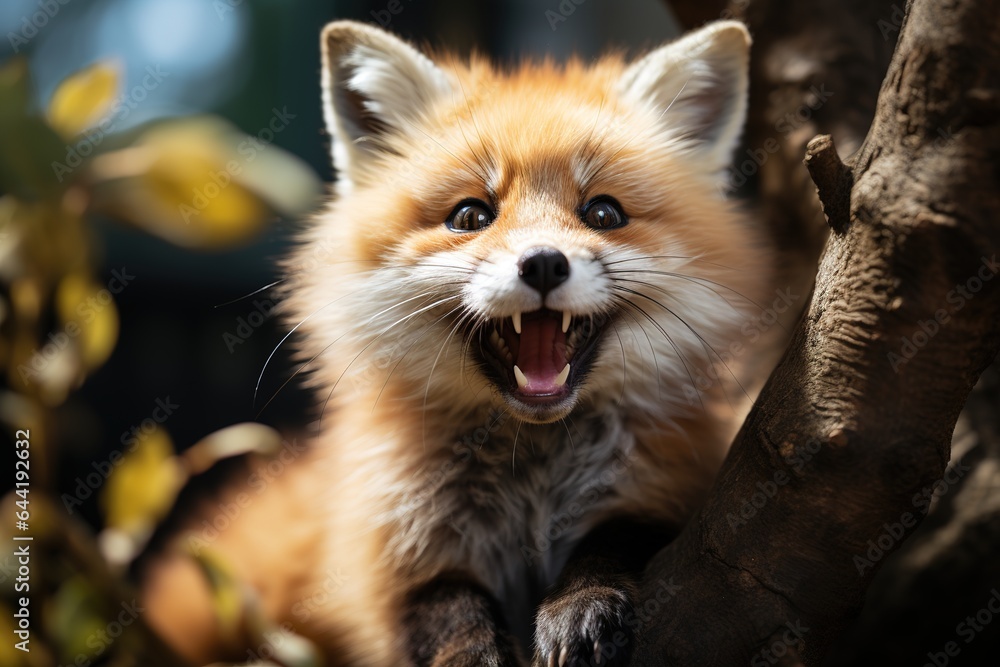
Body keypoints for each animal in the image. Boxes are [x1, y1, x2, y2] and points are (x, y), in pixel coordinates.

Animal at [141, 18, 775, 667]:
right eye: (470, 216)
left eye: (603, 213)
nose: (543, 263)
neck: (530, 480)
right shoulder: (383, 562)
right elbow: (442, 609)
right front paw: (472, 650)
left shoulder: (673, 488)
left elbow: (618, 535)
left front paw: (581, 603)